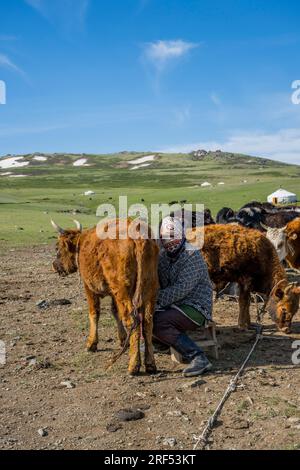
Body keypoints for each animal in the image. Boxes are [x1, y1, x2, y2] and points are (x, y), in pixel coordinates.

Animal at [51, 218, 159, 376]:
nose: (54, 266)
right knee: (147, 322)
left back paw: (133, 365)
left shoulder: (88, 287)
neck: (81, 244)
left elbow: (94, 313)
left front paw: (91, 343)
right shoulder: (114, 294)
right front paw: (122, 339)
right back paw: (150, 363)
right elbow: (115, 312)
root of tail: (138, 235)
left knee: (132, 320)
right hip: (150, 288)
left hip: (122, 289)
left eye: (58, 247)